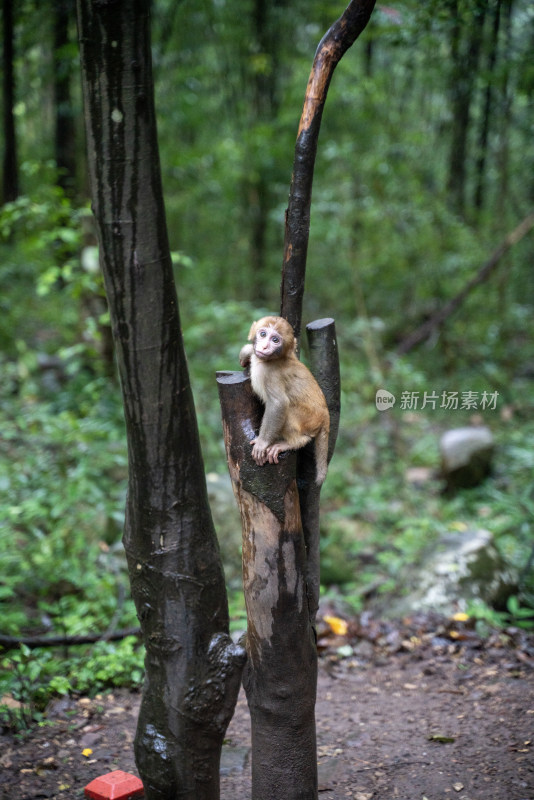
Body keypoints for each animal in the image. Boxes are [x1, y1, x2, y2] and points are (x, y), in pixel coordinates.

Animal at [240, 316, 330, 484]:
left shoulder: (270, 374)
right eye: (263, 334)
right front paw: (247, 352)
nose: (264, 346)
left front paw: (262, 443)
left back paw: (293, 442)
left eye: (275, 340)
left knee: (289, 411)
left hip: (309, 420)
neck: (271, 360)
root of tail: (325, 415)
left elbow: (278, 404)